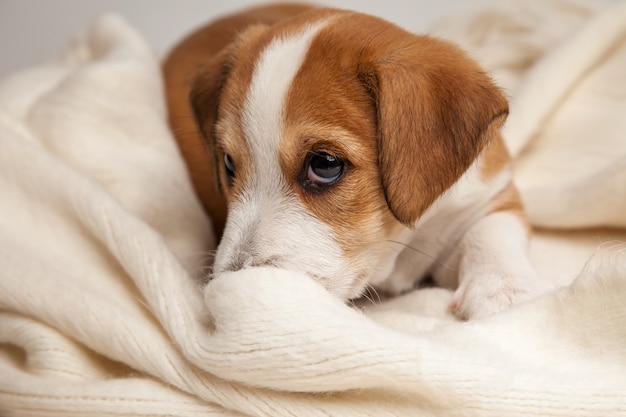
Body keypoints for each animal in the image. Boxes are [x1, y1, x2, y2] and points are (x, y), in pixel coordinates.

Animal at [163, 3, 548, 318]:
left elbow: (492, 231)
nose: (230, 289)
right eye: (229, 164)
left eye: (325, 164)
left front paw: (504, 288)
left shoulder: (488, 195)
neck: (395, 245)